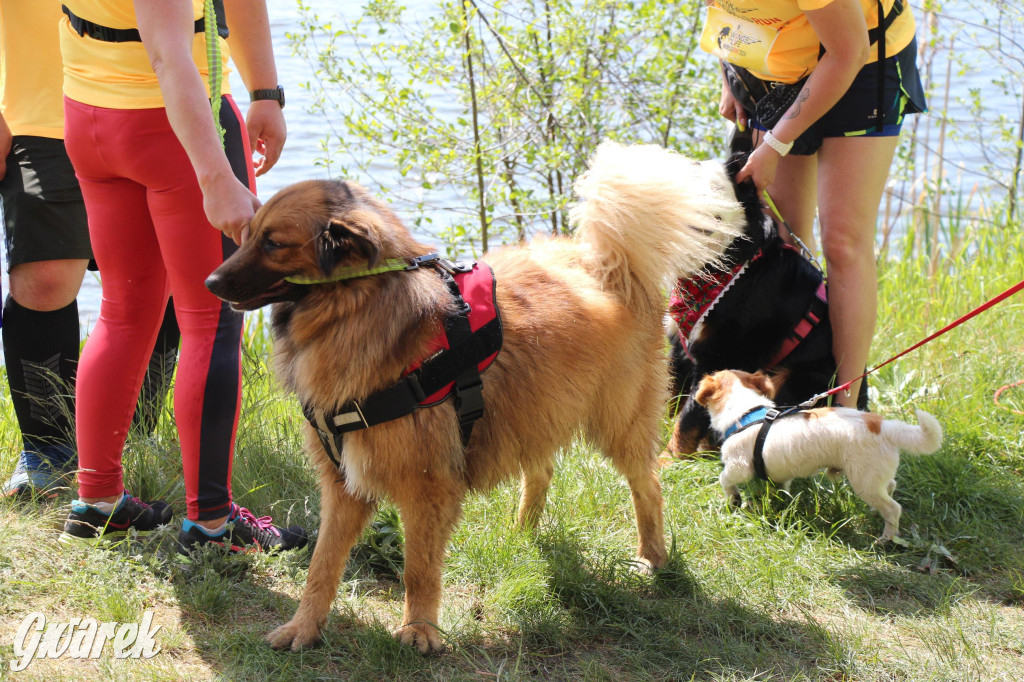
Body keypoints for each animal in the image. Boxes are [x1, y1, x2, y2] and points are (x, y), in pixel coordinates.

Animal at [203, 140, 745, 651]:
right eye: (248, 234)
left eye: (274, 243)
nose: (210, 281)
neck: (360, 304)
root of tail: (611, 261)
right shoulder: (344, 484)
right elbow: (322, 565)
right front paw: (304, 628)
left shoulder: (427, 485)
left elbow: (418, 567)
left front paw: (420, 631)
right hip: (536, 406)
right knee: (541, 469)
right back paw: (523, 532)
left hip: (618, 421)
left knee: (646, 487)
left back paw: (651, 558)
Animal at [696, 368, 942, 540]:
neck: (747, 412)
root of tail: (882, 425)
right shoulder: (780, 472)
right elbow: (781, 487)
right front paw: (779, 502)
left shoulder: (738, 467)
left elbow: (724, 479)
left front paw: (734, 499)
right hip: (875, 476)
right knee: (890, 487)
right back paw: (876, 512)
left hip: (864, 482)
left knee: (893, 508)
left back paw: (886, 537)